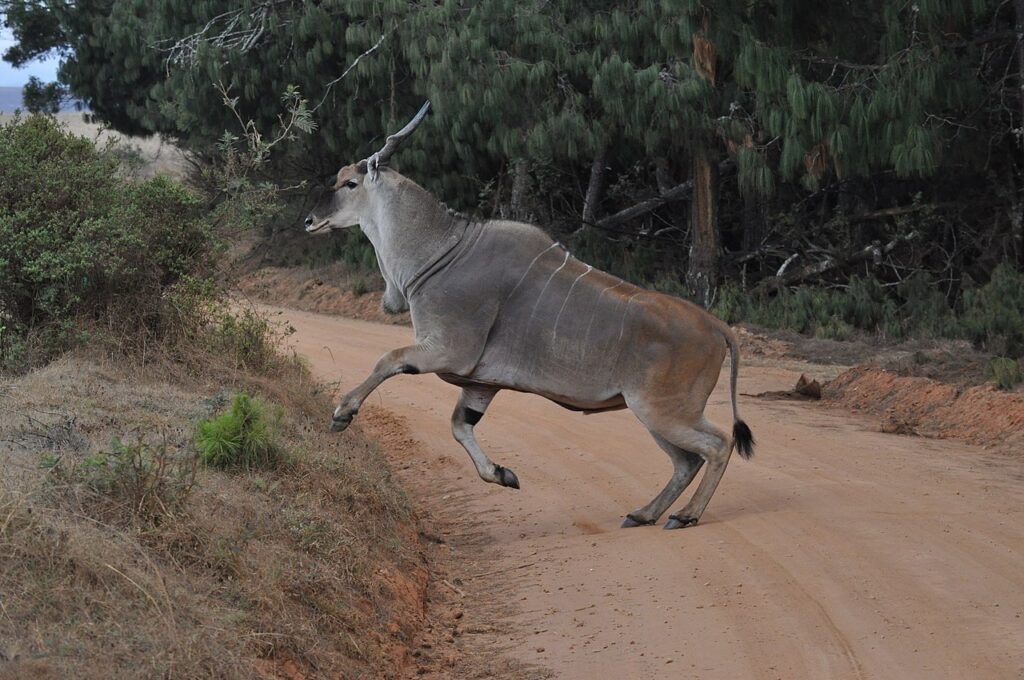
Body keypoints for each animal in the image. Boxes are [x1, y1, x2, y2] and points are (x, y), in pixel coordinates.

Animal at [303, 100, 753, 528]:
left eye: (350, 183)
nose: (309, 220)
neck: (441, 251)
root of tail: (718, 328)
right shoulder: (479, 383)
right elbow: (459, 426)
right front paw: (502, 474)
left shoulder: (448, 351)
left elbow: (389, 360)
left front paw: (342, 414)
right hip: (650, 412)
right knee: (686, 461)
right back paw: (644, 513)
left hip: (661, 409)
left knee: (717, 444)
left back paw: (686, 515)